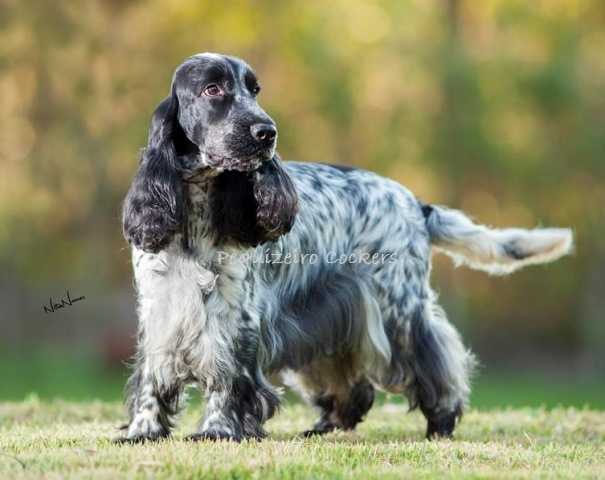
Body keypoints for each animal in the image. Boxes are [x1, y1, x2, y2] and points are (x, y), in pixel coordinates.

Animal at [117, 52, 572, 442]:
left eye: (254, 90)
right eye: (213, 89)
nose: (267, 133)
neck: (196, 209)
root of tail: (414, 202)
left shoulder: (236, 313)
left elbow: (227, 374)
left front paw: (219, 429)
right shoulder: (159, 308)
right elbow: (151, 378)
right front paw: (143, 430)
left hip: (398, 308)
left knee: (435, 361)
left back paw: (441, 422)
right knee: (351, 384)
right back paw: (328, 424)